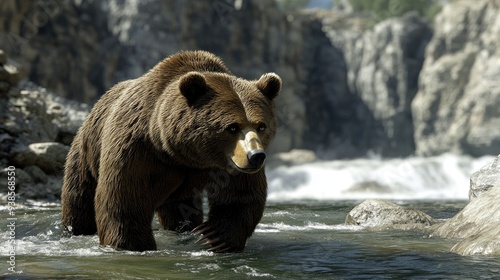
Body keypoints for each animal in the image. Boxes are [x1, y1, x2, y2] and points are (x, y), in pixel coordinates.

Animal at [60, 50, 282, 254]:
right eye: (232, 127)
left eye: (261, 126)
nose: (256, 156)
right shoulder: (139, 149)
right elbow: (125, 198)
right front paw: (133, 245)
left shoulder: (227, 165)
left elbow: (240, 195)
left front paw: (213, 236)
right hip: (86, 150)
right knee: (80, 196)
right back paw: (74, 229)